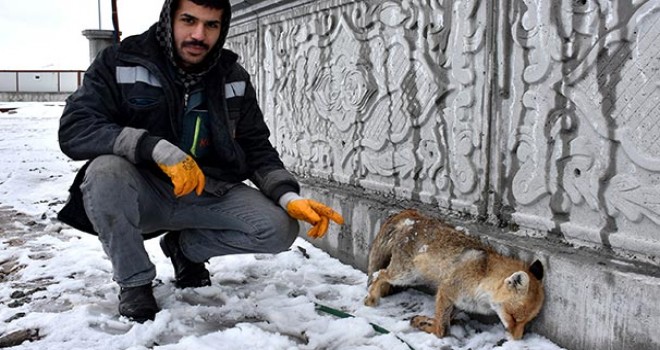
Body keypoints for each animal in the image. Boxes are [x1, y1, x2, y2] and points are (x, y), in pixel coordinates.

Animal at [364, 209, 544, 340]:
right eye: (513, 317)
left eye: (527, 321)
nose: (517, 339)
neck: (482, 281)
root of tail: (412, 215)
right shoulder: (445, 290)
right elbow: (442, 329)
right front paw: (429, 327)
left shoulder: (457, 302)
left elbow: (443, 318)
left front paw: (424, 320)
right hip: (405, 275)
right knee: (379, 274)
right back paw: (371, 298)